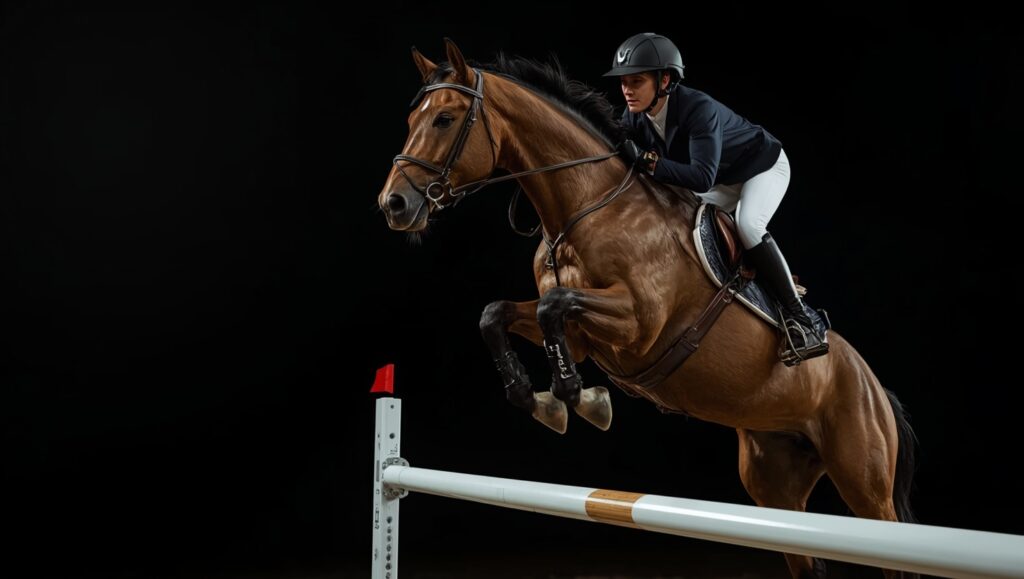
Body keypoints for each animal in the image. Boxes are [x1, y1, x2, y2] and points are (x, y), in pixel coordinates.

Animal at [377, 39, 917, 579]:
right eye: (412, 119)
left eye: (444, 119)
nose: (393, 205)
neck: (586, 208)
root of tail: (873, 386)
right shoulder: (581, 336)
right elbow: (497, 314)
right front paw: (539, 398)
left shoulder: (638, 323)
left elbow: (554, 307)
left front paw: (576, 398)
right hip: (775, 483)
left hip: (865, 485)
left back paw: (805, 331)